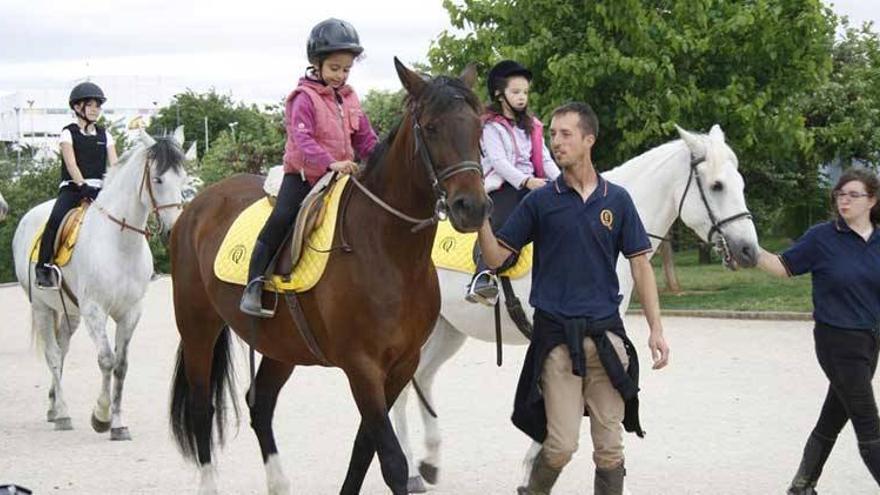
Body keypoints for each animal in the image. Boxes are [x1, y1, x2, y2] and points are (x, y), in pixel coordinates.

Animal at [11, 129, 187, 442]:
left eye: (184, 177)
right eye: (158, 179)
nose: (172, 231)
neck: (120, 243)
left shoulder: (131, 312)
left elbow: (121, 366)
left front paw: (118, 424)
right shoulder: (95, 310)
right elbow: (106, 359)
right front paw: (101, 417)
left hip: (70, 312)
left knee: (62, 350)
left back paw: (53, 406)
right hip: (42, 307)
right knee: (53, 355)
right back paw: (63, 414)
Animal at [168, 59, 492, 495]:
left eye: (477, 128)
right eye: (431, 127)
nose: (472, 207)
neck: (388, 251)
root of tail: (195, 205)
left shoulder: (402, 365)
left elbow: (365, 448)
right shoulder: (362, 367)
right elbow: (390, 460)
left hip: (280, 346)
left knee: (260, 404)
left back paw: (278, 484)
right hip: (198, 328)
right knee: (203, 409)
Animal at [396, 125, 760, 492]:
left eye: (741, 183)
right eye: (717, 186)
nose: (749, 251)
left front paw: (533, 471)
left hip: (448, 330)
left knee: (422, 377)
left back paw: (429, 462)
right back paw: (410, 472)